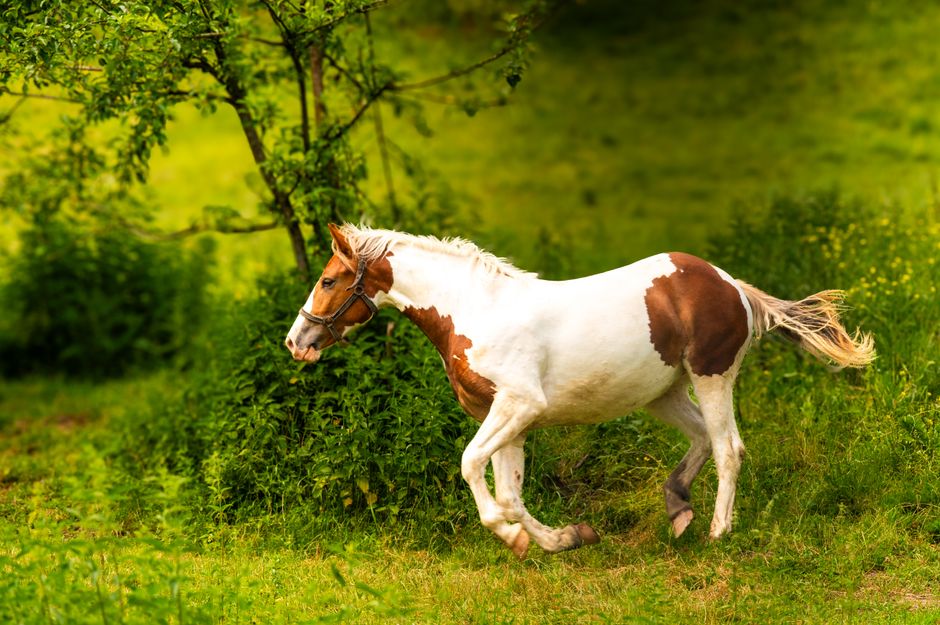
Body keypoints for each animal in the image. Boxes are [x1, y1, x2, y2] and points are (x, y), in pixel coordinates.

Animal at [285, 223, 874, 558]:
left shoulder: (518, 405)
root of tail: (732, 285)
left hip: (712, 376)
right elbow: (510, 492)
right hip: (662, 392)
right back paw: (678, 511)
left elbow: (472, 468)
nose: (297, 341)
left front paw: (513, 538)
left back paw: (716, 533)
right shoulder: (508, 418)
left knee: (729, 448)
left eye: (330, 280)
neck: (475, 310)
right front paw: (561, 539)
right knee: (704, 441)